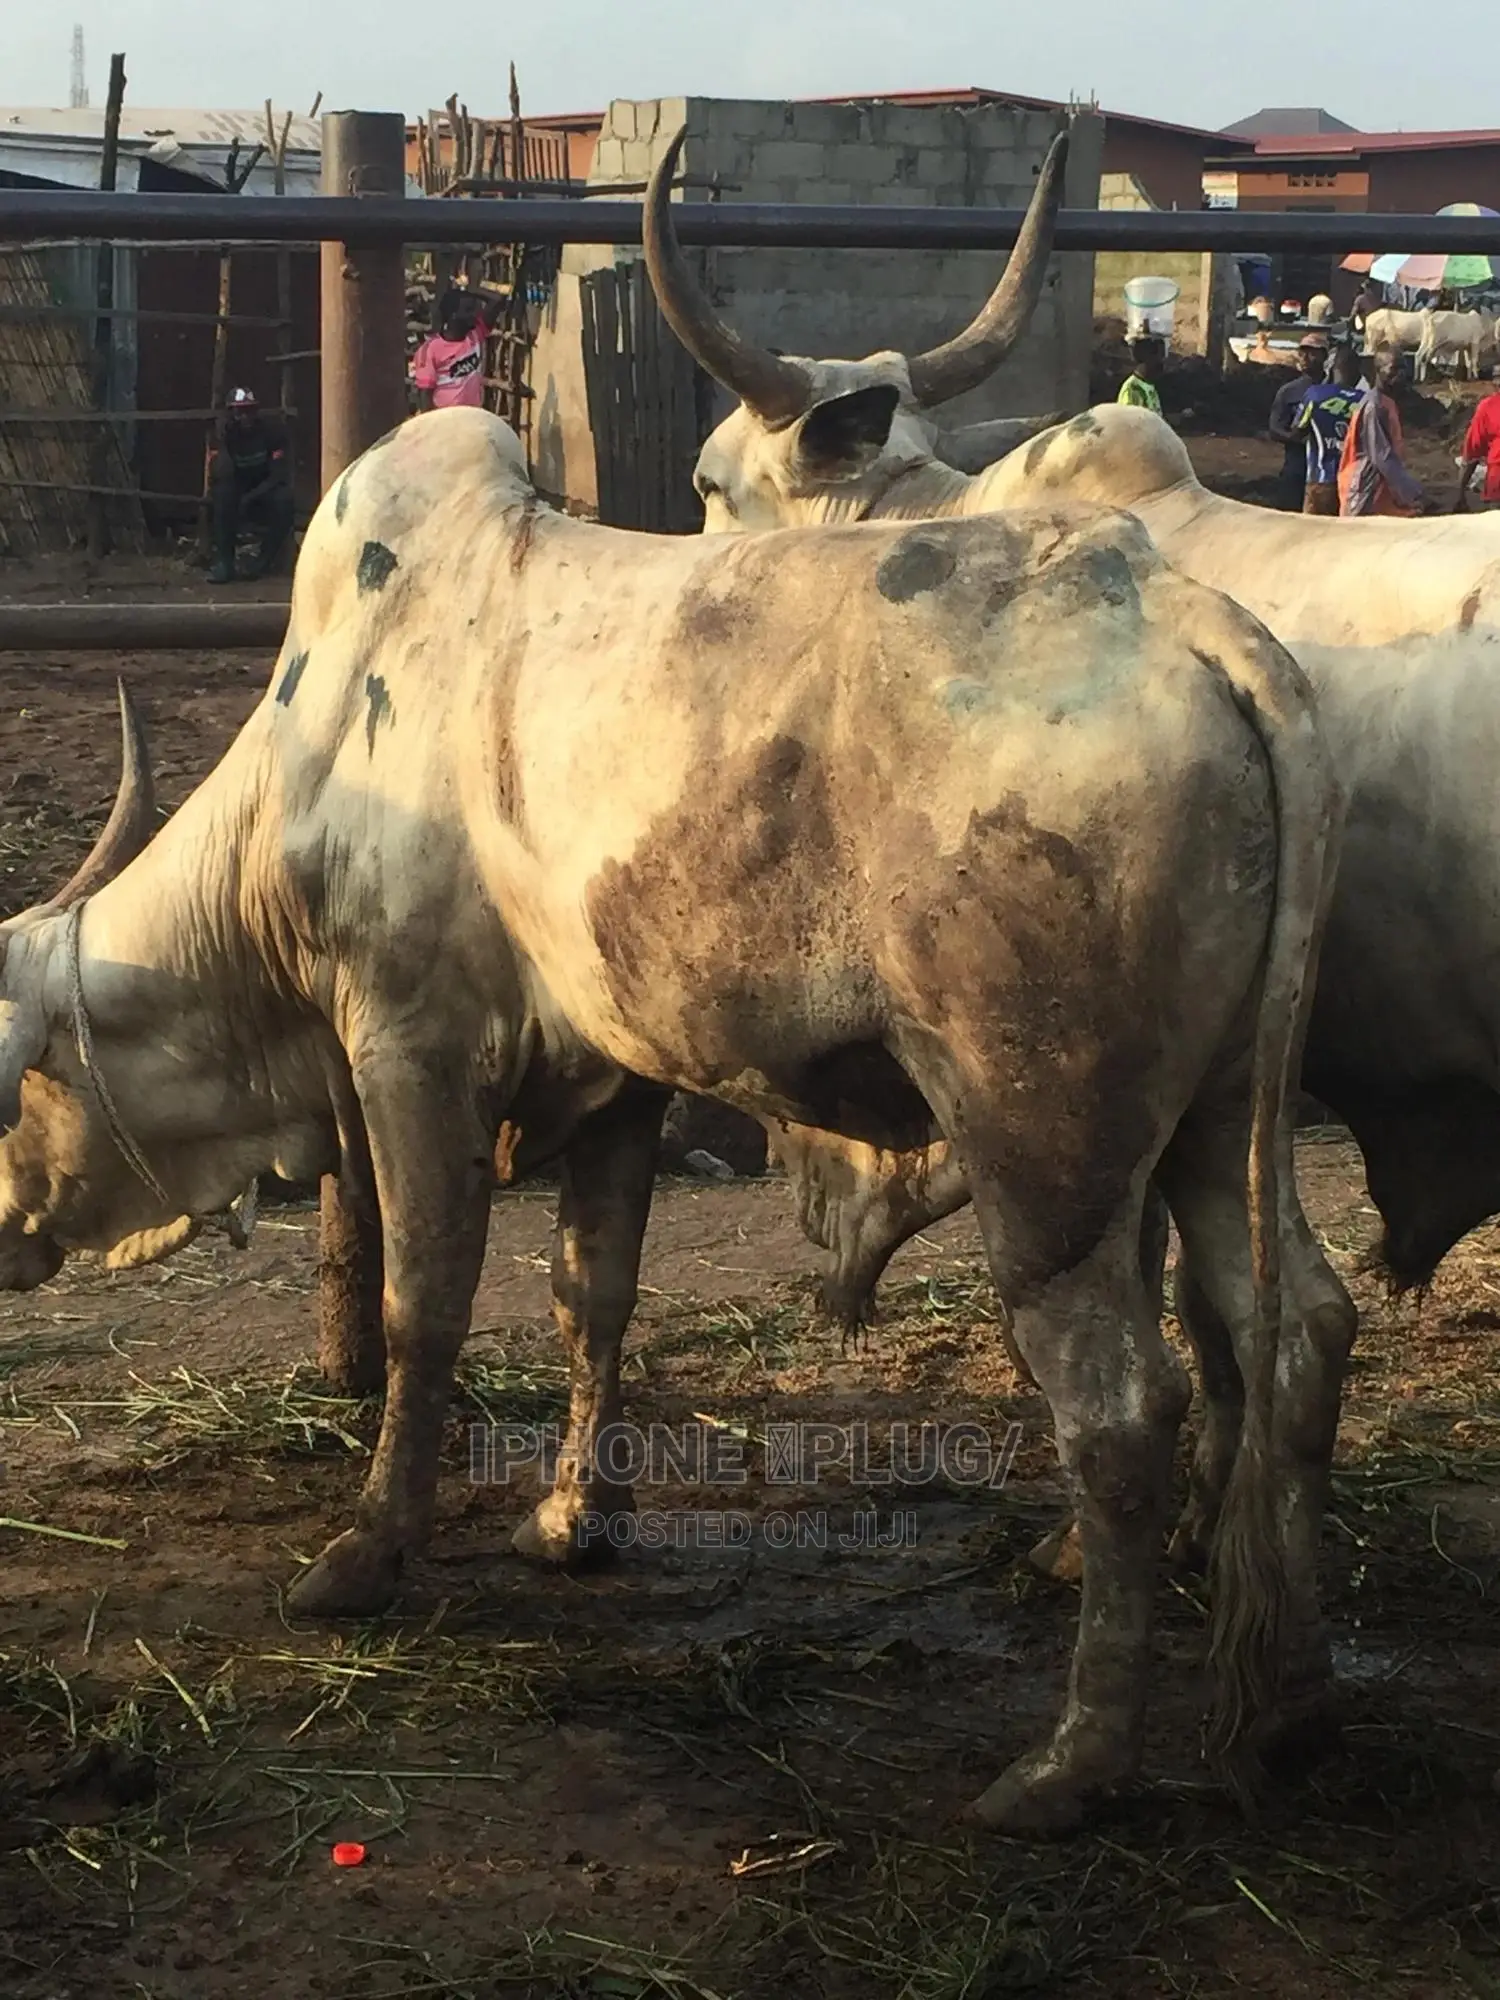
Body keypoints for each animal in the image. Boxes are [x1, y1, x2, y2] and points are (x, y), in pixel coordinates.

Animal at [0, 402, 1345, 1833]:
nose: (7, 1235)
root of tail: (1183, 619)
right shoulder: (615, 1081)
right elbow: (593, 1294)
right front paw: (574, 1516)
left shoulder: (409, 1047)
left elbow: (423, 1310)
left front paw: (364, 1552)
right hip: (1219, 1117)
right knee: (1295, 1328)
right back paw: (1290, 1702)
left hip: (1046, 1148)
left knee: (1121, 1407)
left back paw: (1069, 1763)